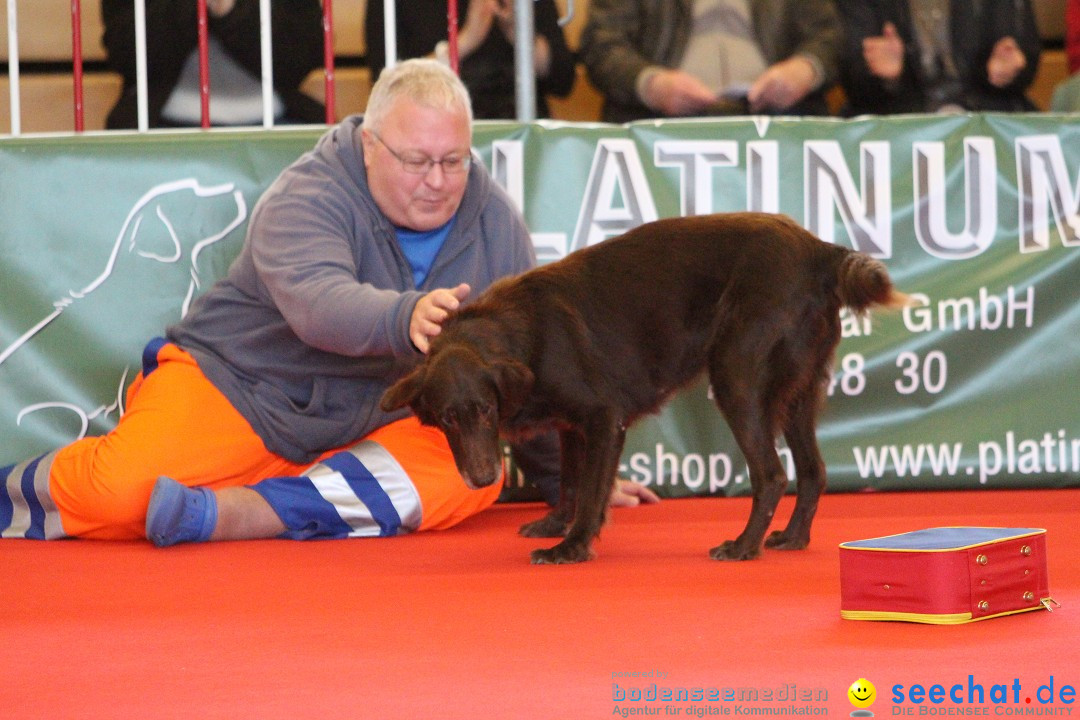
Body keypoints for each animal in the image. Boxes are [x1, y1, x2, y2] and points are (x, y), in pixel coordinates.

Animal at [384, 212, 907, 561]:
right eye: (447, 418)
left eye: (486, 411)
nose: (483, 478)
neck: (521, 333)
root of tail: (819, 249)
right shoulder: (572, 427)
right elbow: (570, 481)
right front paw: (555, 524)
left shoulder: (602, 418)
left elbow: (591, 489)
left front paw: (573, 545)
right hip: (797, 390)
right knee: (813, 470)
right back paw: (793, 538)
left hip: (736, 378)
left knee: (773, 475)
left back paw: (743, 546)